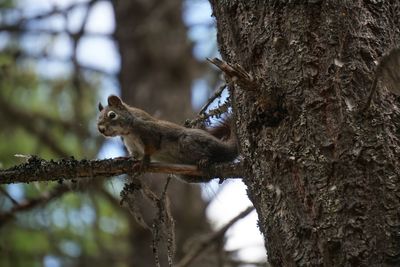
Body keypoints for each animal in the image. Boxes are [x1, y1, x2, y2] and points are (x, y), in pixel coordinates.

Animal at [97, 96, 239, 182]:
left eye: (112, 115)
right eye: (98, 117)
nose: (101, 129)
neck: (128, 133)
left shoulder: (149, 131)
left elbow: (150, 148)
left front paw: (144, 162)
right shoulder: (131, 145)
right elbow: (135, 154)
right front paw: (125, 158)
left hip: (188, 142)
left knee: (212, 153)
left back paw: (205, 160)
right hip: (184, 175)